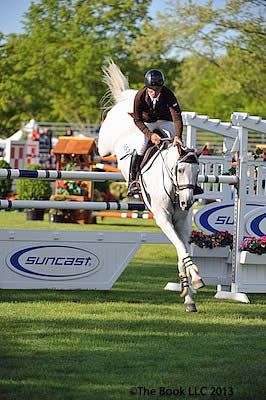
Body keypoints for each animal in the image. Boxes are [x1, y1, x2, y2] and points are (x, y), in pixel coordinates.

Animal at [97, 59, 204, 312]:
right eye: (180, 170)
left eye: (197, 172)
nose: (187, 202)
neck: (173, 189)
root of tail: (126, 99)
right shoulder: (163, 218)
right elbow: (181, 249)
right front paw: (195, 280)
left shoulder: (182, 222)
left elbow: (181, 250)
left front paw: (189, 296)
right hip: (109, 139)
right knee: (105, 145)